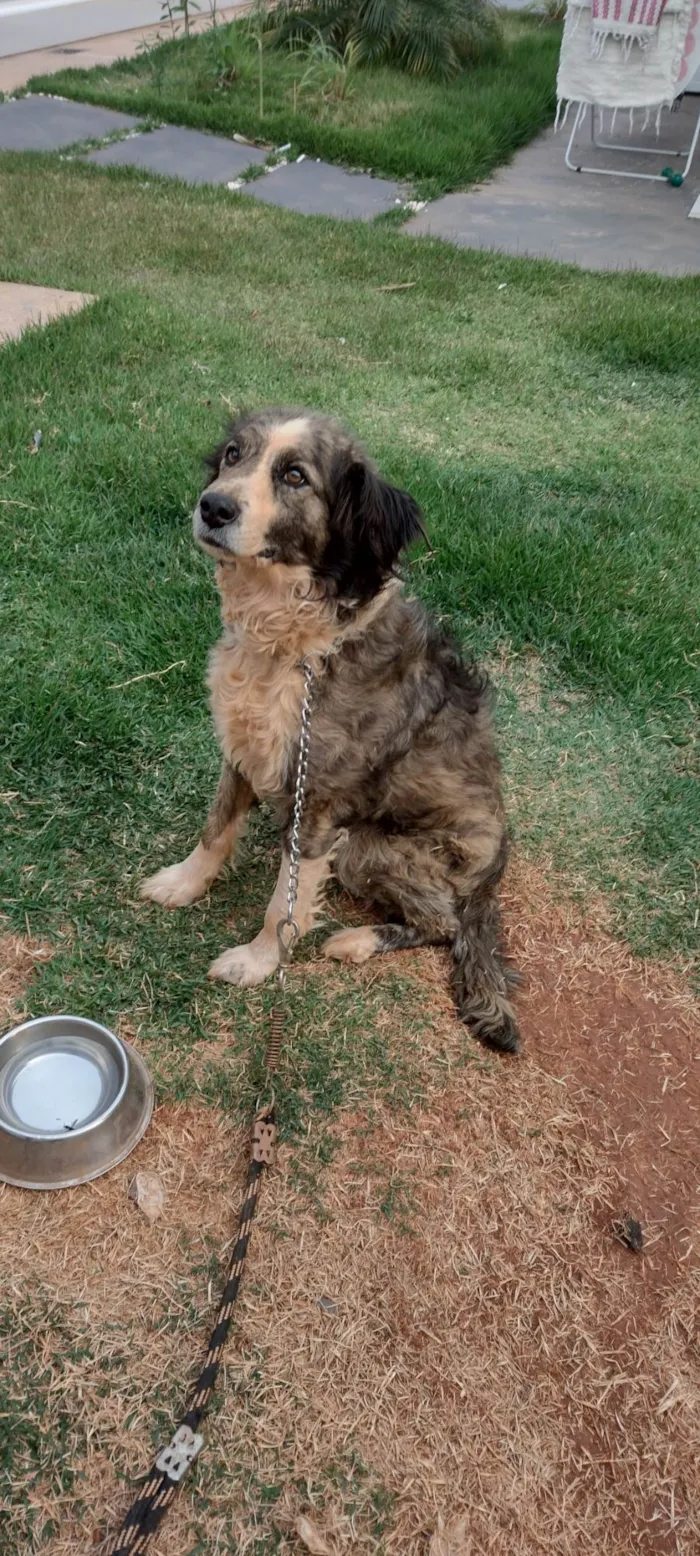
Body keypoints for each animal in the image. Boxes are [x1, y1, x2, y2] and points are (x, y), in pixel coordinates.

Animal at [140, 407, 519, 1051]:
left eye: (295, 476)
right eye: (234, 455)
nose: (212, 506)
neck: (295, 642)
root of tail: (496, 867)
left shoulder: (317, 802)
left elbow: (282, 903)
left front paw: (257, 963)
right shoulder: (242, 749)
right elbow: (215, 830)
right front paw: (183, 884)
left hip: (367, 848)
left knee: (441, 922)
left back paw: (356, 940)